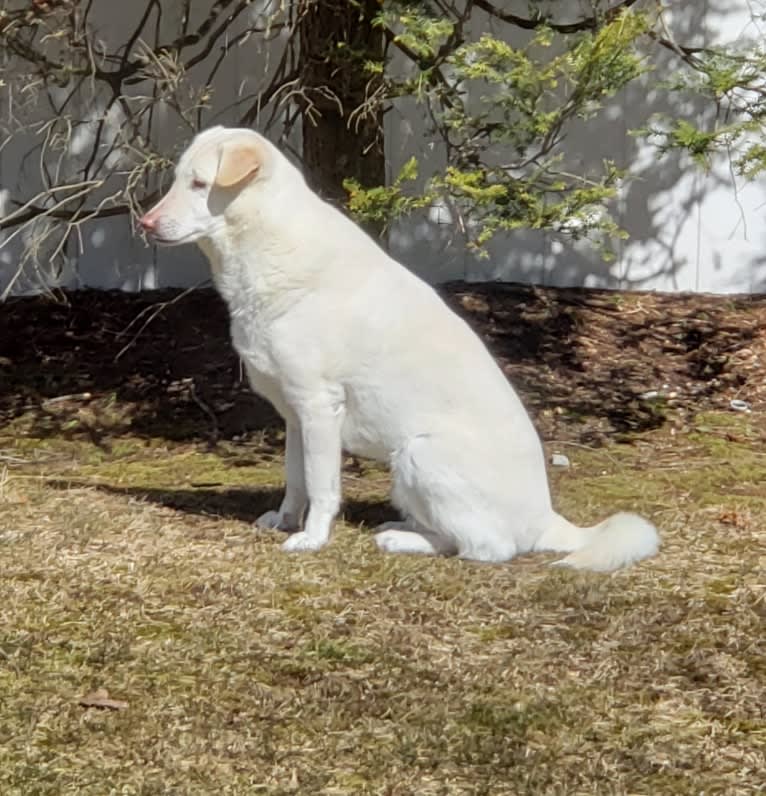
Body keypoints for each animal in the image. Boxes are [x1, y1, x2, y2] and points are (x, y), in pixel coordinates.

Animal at [142, 127, 660, 568]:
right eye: (179, 180)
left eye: (199, 183)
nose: (145, 223)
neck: (264, 245)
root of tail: (546, 520)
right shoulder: (294, 414)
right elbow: (295, 480)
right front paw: (286, 521)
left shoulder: (319, 407)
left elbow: (322, 487)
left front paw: (312, 538)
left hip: (417, 454)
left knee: (484, 548)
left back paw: (401, 539)